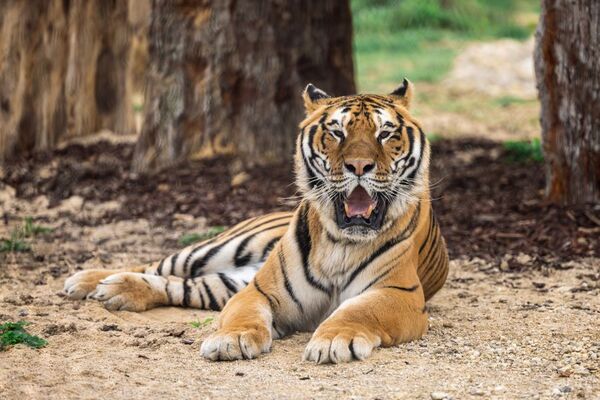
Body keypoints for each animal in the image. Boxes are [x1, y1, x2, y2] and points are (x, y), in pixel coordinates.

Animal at [65, 79, 450, 364]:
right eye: (337, 132)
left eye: (385, 133)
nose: (358, 165)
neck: (341, 242)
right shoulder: (260, 289)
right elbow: (243, 315)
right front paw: (230, 340)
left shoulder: (398, 294)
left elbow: (357, 312)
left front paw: (333, 340)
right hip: (218, 249)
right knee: (158, 265)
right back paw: (90, 280)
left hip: (223, 282)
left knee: (179, 284)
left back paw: (116, 290)